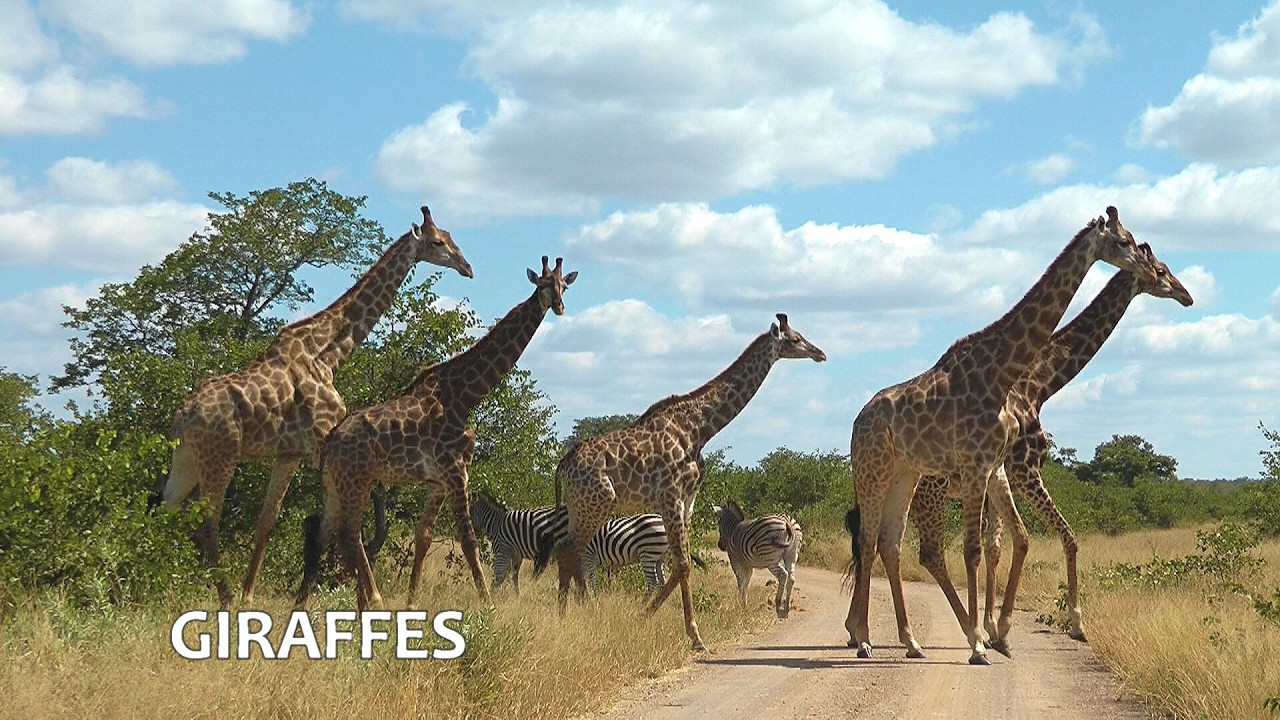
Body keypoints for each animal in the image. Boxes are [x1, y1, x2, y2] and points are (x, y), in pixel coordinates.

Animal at [159, 206, 472, 606]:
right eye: (437, 243)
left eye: (451, 237)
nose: (467, 266)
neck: (327, 352)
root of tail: (182, 416)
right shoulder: (323, 443)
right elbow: (335, 524)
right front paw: (362, 597)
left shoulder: (290, 452)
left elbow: (268, 520)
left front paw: (253, 595)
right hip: (220, 456)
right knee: (208, 524)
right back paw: (223, 598)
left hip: (185, 459)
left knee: (164, 510)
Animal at [294, 256, 577, 611]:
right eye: (542, 285)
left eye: (564, 285)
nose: (560, 307)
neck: (465, 395)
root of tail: (330, 443)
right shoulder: (456, 471)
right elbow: (469, 539)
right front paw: (486, 602)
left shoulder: (437, 482)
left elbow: (423, 538)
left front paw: (412, 603)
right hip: (355, 480)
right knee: (349, 533)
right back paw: (372, 600)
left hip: (336, 484)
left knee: (321, 531)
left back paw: (306, 603)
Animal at [553, 314, 826, 650]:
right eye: (796, 338)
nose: (820, 353)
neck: (700, 427)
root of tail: (563, 466)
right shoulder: (671, 495)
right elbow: (683, 563)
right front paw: (693, 635)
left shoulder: (688, 498)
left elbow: (677, 564)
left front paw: (650, 616)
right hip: (597, 502)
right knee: (570, 549)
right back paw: (576, 612)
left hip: (581, 505)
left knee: (567, 548)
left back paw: (574, 611)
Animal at [844, 206, 1158, 665]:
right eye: (1123, 242)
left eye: (1136, 241)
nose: (1150, 269)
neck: (1005, 373)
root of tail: (856, 422)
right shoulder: (984, 465)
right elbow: (975, 550)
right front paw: (980, 641)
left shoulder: (994, 468)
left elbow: (1003, 543)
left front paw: (993, 633)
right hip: (875, 472)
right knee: (872, 542)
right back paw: (866, 638)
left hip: (905, 476)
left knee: (890, 544)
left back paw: (910, 641)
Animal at [908, 242, 1193, 652]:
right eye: (1161, 270)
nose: (1187, 295)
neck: (1039, 384)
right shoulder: (1025, 470)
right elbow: (1066, 537)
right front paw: (1072, 624)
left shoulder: (1002, 477)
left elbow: (996, 547)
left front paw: (992, 626)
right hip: (930, 494)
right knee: (924, 552)